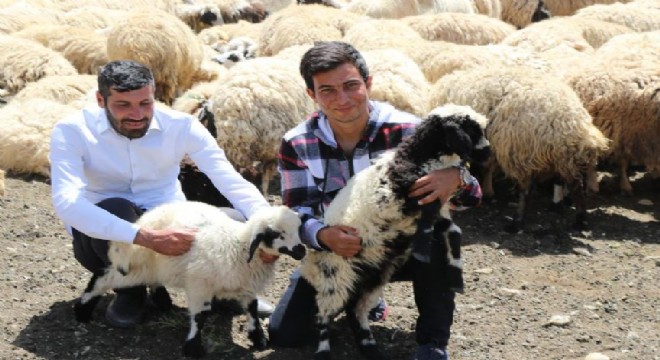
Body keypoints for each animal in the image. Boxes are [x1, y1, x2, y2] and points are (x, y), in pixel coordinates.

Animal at [73, 202, 306, 358]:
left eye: (297, 230)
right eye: (276, 234)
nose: (301, 250)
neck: (238, 246)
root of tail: (145, 219)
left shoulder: (246, 286)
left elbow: (252, 311)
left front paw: (258, 338)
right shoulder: (200, 285)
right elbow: (200, 317)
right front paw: (193, 347)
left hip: (154, 268)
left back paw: (162, 300)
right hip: (135, 269)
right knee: (102, 277)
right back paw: (82, 310)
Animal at [300, 102, 490, 358]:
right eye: (471, 130)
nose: (488, 153)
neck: (417, 156)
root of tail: (310, 264)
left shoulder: (437, 206)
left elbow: (454, 232)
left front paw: (456, 277)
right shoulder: (395, 200)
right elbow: (433, 220)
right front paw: (424, 249)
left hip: (371, 278)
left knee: (355, 310)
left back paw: (369, 347)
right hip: (335, 277)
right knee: (322, 316)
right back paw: (324, 351)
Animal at [428, 66, 608, 232]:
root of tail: (572, 122)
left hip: (521, 153)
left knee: (525, 190)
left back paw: (516, 222)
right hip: (562, 157)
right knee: (575, 185)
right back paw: (579, 220)